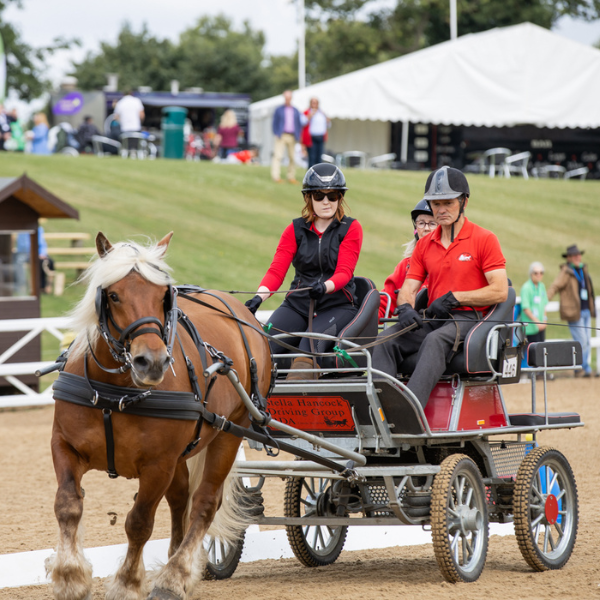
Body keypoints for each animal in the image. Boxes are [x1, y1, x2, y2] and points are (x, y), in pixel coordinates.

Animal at [47, 233, 272, 600]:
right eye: (113, 295)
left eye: (162, 296)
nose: (151, 362)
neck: (117, 391)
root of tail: (241, 311)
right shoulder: (65, 446)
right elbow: (68, 505)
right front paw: (70, 576)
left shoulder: (158, 465)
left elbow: (139, 522)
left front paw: (127, 583)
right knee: (181, 499)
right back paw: (173, 564)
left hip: (230, 431)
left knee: (204, 503)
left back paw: (175, 575)